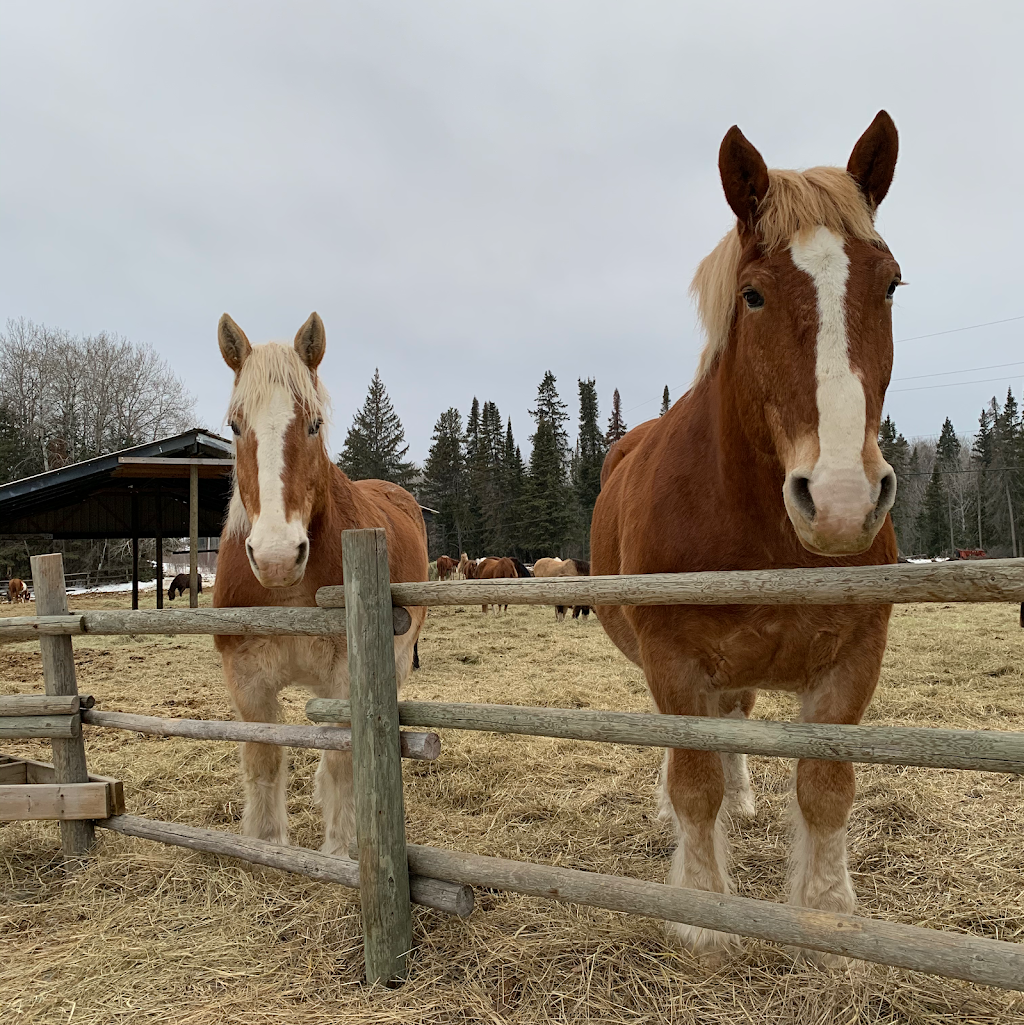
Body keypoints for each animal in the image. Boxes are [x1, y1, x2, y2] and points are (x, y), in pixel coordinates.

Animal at [212, 311, 428, 856]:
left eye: (313, 424)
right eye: (235, 425)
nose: (276, 557)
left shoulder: (344, 678)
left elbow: (341, 761)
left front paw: (340, 850)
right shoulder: (247, 680)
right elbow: (264, 760)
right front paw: (266, 845)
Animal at [590, 114, 902, 959]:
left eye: (890, 284)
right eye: (753, 295)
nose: (839, 499)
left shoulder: (851, 662)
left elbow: (827, 791)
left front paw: (826, 911)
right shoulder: (672, 660)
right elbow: (693, 785)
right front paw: (703, 913)